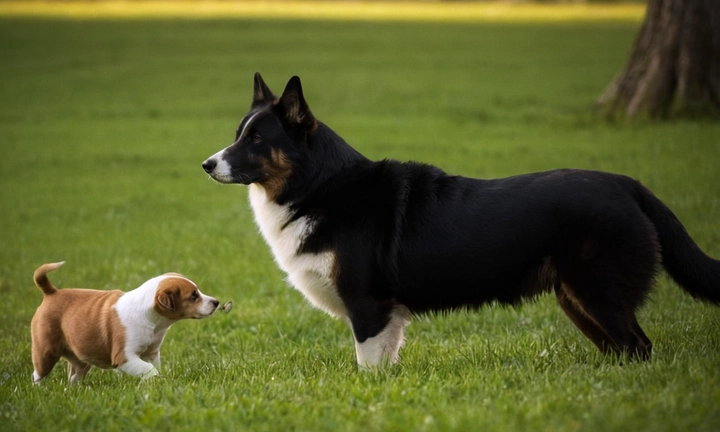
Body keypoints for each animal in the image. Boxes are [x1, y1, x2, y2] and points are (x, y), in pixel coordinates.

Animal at [29, 262, 219, 384]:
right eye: (193, 296)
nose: (216, 302)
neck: (155, 323)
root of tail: (52, 292)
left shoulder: (152, 352)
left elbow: (154, 367)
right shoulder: (124, 357)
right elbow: (149, 369)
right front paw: (154, 381)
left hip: (80, 359)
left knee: (74, 376)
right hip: (45, 351)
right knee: (37, 374)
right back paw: (41, 390)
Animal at [202, 74, 720, 368]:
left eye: (256, 140)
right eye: (237, 134)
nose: (206, 164)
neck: (319, 186)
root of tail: (627, 184)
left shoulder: (369, 306)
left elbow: (366, 365)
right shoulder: (388, 316)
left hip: (599, 293)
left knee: (638, 346)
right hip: (577, 298)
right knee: (624, 350)